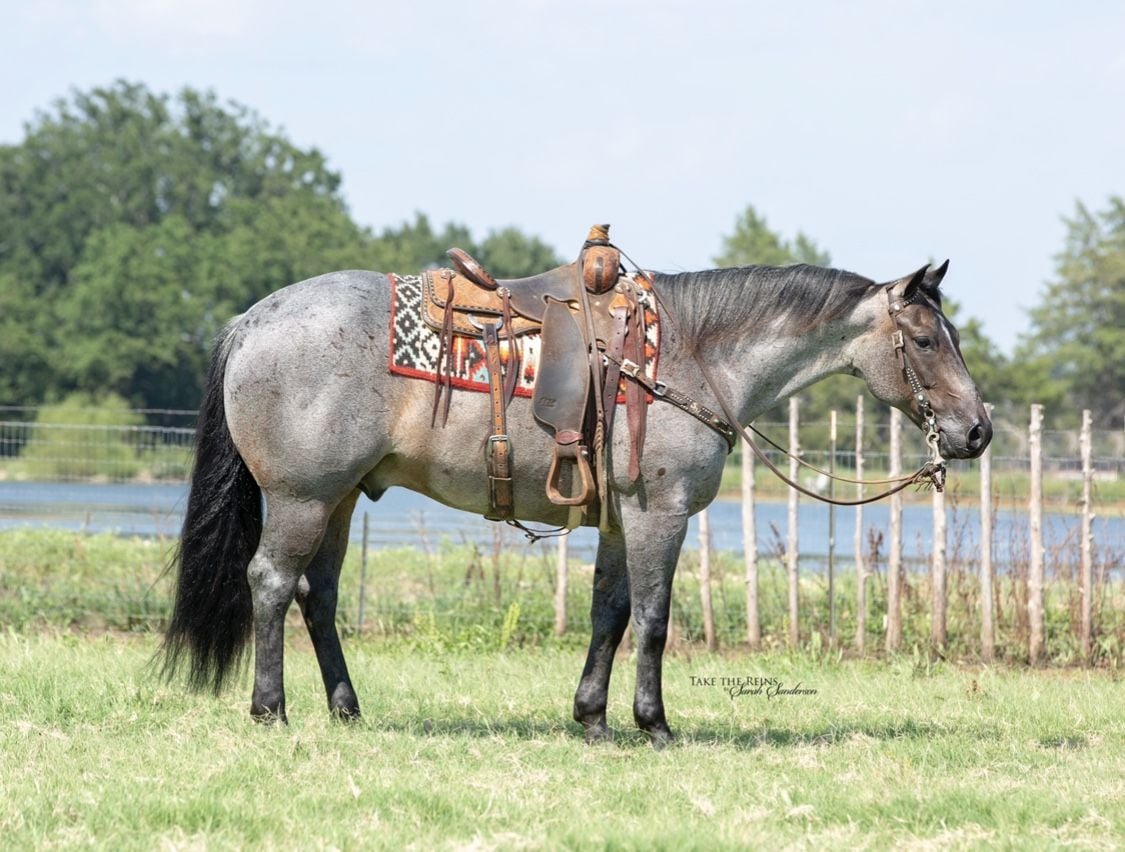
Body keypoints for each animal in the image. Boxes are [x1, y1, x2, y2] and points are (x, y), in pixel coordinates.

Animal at [163, 255, 990, 742]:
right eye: (925, 342)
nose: (975, 430)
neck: (686, 355)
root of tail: (251, 321)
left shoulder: (622, 522)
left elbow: (610, 614)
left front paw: (591, 718)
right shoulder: (659, 516)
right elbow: (653, 620)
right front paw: (653, 724)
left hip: (334, 502)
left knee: (317, 595)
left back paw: (346, 708)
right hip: (300, 498)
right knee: (271, 583)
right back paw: (271, 709)